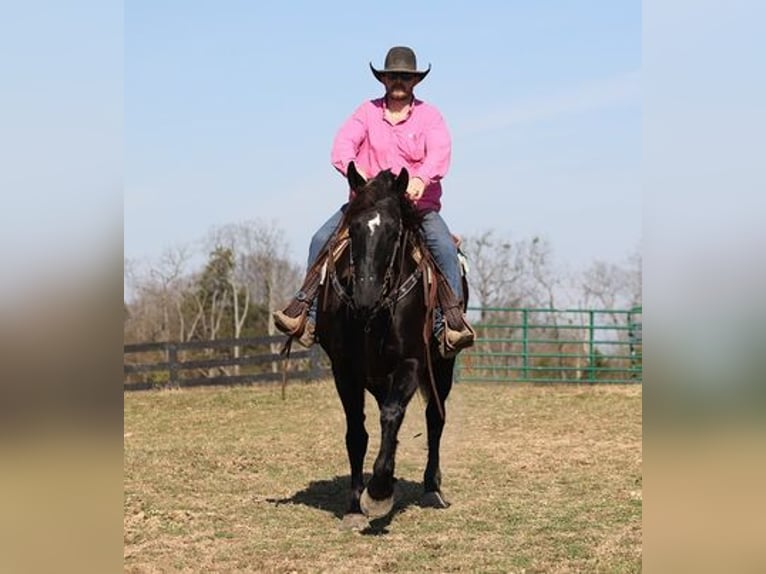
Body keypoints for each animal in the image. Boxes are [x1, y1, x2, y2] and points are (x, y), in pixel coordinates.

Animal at [316, 163, 460, 532]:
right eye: (353, 227)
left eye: (394, 229)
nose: (364, 296)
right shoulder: (345, 370)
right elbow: (357, 432)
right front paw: (356, 505)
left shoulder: (411, 362)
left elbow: (393, 415)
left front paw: (378, 492)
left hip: (442, 367)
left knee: (433, 419)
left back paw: (431, 488)